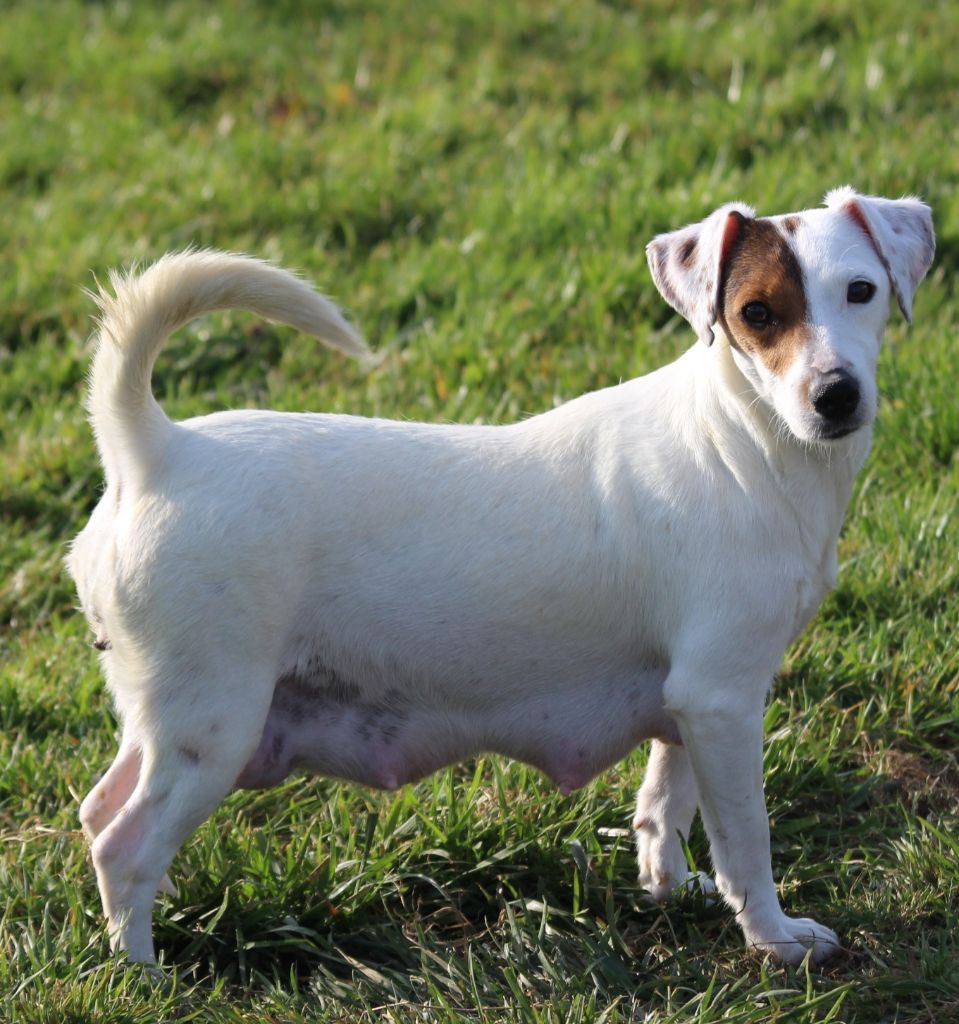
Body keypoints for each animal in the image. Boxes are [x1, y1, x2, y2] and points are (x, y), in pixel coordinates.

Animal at [69, 188, 937, 962]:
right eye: (757, 314)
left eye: (860, 292)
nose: (835, 396)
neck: (744, 442)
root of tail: (155, 450)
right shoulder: (723, 699)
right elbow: (744, 840)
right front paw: (774, 938)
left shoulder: (690, 702)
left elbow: (664, 805)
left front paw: (671, 891)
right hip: (214, 726)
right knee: (126, 845)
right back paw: (142, 970)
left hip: (165, 721)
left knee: (100, 811)